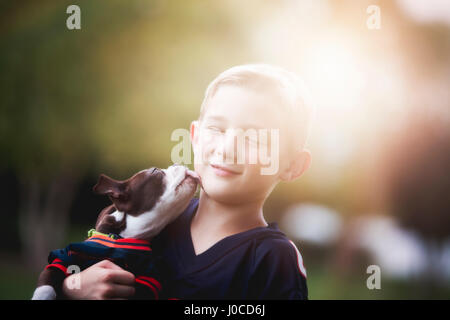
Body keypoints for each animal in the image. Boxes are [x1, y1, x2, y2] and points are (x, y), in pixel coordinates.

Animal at [30, 165, 200, 300]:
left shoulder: (148, 281)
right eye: (155, 171)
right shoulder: (63, 258)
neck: (120, 240)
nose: (177, 163)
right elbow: (47, 282)